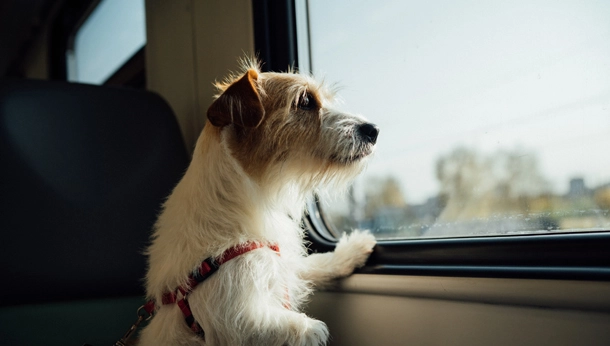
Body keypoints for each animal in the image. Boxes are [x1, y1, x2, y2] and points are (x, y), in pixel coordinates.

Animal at [138, 62, 378, 346]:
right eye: (306, 101)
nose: (373, 130)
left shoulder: (279, 262)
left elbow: (310, 265)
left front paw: (351, 250)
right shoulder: (233, 316)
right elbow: (286, 326)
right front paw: (311, 330)